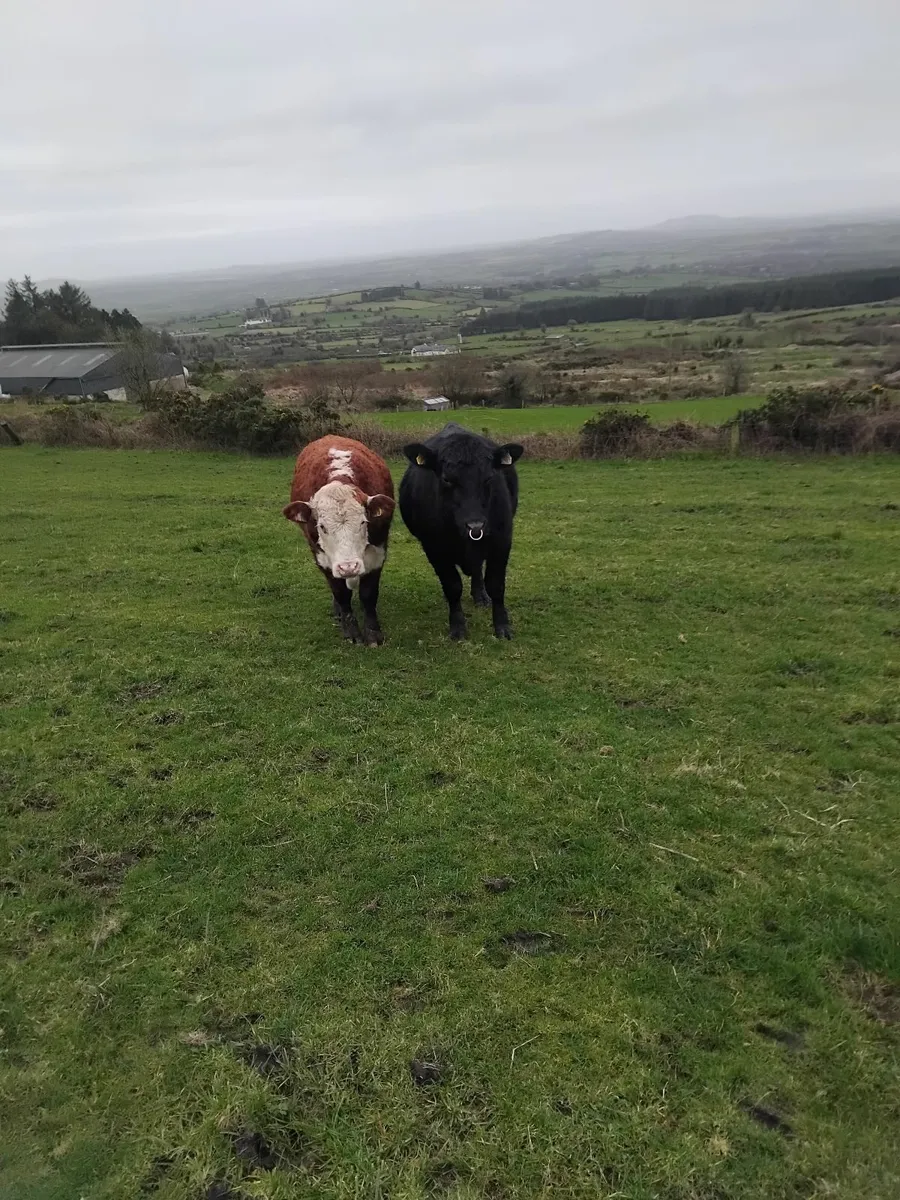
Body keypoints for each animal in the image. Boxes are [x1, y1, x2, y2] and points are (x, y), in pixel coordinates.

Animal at [283, 435, 396, 645]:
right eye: (322, 527)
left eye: (363, 522)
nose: (348, 567)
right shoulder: (322, 557)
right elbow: (341, 593)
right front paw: (351, 631)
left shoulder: (377, 551)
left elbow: (368, 594)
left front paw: (373, 633)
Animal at [399, 423, 523, 641]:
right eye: (447, 479)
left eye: (489, 478)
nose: (475, 525)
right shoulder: (434, 548)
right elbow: (452, 586)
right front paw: (458, 628)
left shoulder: (502, 541)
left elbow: (496, 585)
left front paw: (502, 627)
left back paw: (480, 596)